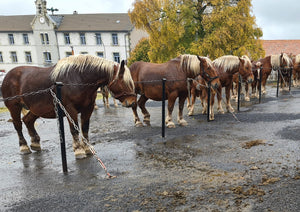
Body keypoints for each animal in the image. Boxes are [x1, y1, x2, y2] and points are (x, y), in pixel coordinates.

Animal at [1, 54, 137, 159]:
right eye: (123, 81)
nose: (132, 102)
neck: (78, 78)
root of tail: (8, 76)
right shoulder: (70, 109)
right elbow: (74, 130)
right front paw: (79, 150)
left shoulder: (88, 108)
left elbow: (85, 128)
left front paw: (87, 148)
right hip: (14, 107)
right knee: (18, 125)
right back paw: (24, 147)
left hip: (36, 109)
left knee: (28, 120)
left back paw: (35, 143)